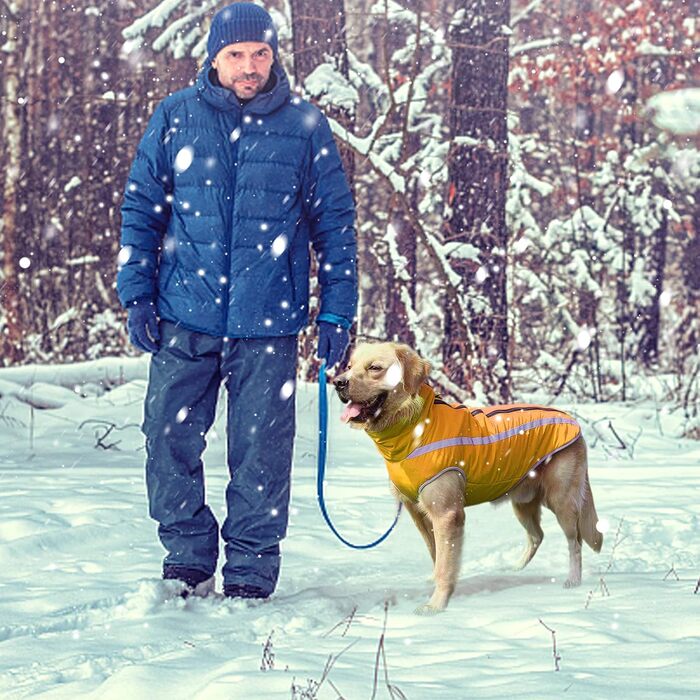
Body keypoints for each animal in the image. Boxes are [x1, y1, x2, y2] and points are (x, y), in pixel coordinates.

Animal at [334, 342, 600, 616]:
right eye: (349, 366)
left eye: (374, 368)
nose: (337, 382)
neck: (414, 425)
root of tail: (573, 420)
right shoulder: (418, 512)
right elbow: (436, 554)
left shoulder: (447, 514)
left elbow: (444, 564)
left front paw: (436, 606)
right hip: (523, 503)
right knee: (537, 535)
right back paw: (516, 569)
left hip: (561, 500)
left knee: (575, 541)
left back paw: (573, 581)